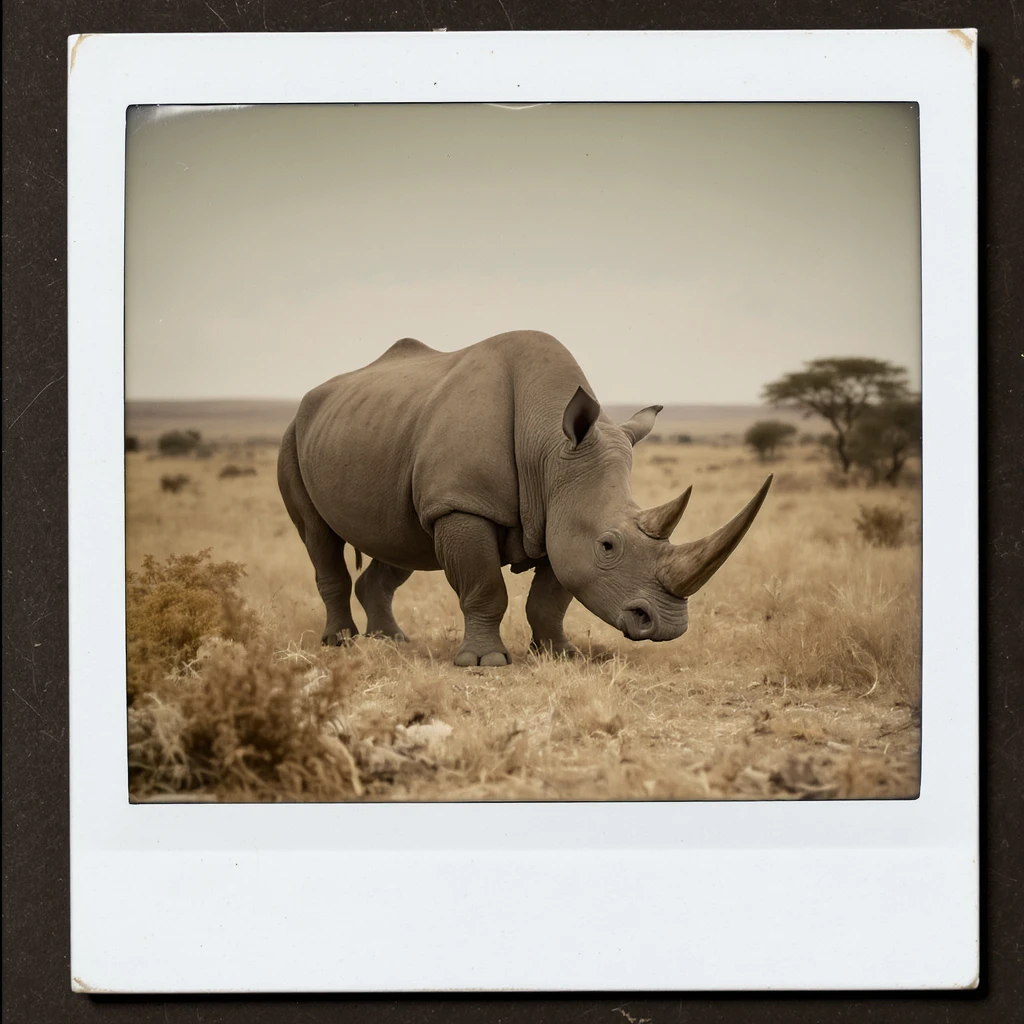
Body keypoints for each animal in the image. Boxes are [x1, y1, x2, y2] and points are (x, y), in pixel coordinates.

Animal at [278, 331, 771, 666]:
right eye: (608, 545)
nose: (667, 626)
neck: (549, 449)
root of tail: (311, 400)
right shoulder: (464, 504)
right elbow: (484, 587)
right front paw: (485, 664)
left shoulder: (558, 513)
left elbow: (551, 598)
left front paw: (561, 655)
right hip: (294, 435)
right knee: (320, 538)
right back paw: (341, 643)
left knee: (398, 542)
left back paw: (391, 642)